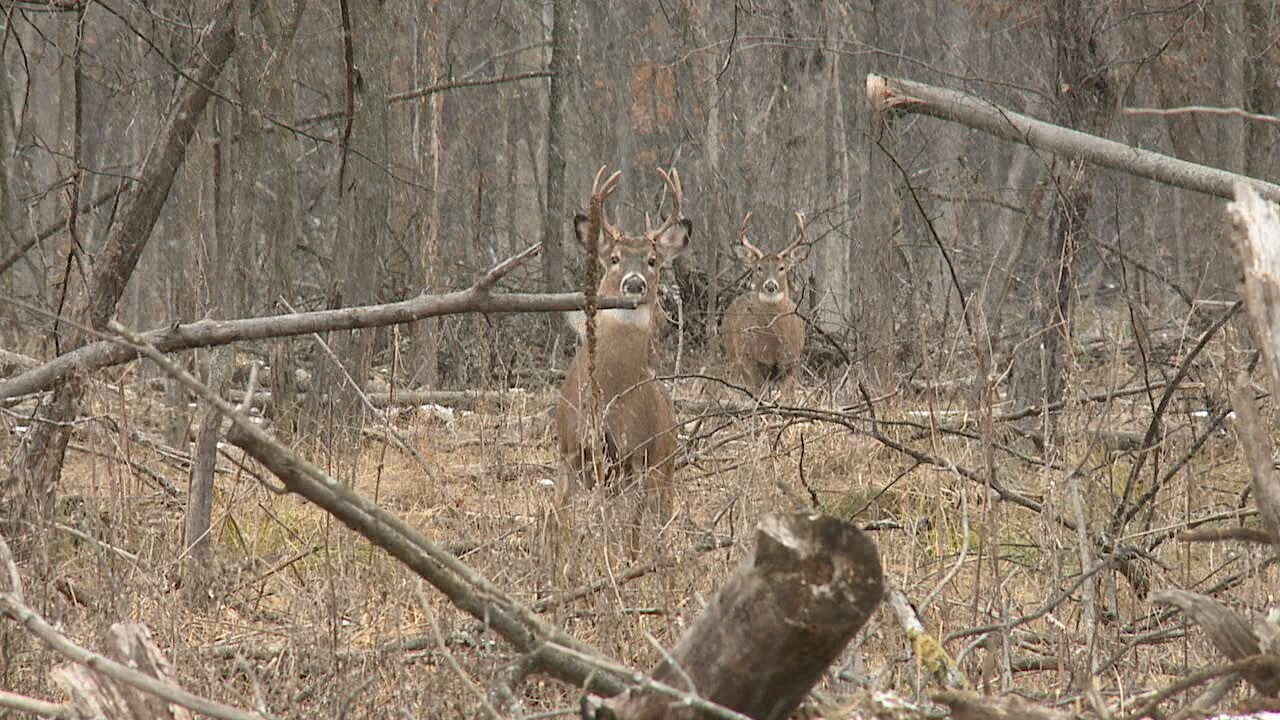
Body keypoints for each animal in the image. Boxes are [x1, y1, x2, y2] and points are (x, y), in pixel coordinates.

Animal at [553, 165, 692, 535]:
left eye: (653, 260)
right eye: (614, 259)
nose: (633, 284)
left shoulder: (635, 457)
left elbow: (627, 533)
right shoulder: (570, 451)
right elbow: (558, 519)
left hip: (663, 469)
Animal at [720, 211, 810, 395]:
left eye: (782, 267)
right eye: (759, 268)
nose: (770, 285)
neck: (773, 342)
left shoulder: (791, 361)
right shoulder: (750, 359)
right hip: (732, 353)